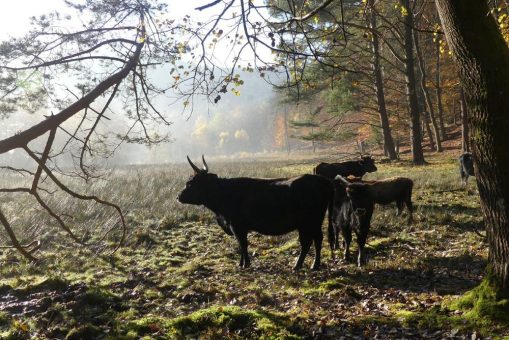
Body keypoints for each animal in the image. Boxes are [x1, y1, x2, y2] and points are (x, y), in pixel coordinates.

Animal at [178, 156, 334, 270]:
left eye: (190, 183)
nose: (178, 196)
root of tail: (323, 181)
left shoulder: (237, 226)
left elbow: (243, 244)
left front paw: (245, 264)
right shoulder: (238, 227)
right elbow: (241, 244)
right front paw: (241, 263)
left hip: (309, 222)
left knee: (310, 241)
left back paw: (302, 265)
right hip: (312, 223)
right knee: (316, 239)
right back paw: (312, 265)